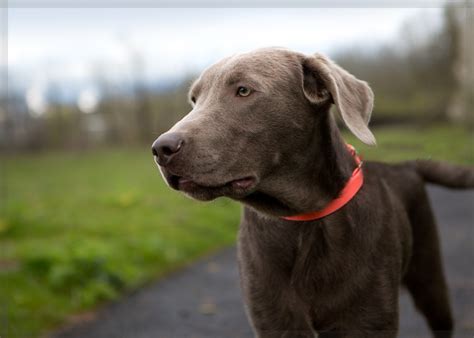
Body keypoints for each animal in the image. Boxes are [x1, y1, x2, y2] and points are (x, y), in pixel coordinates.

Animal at [153, 47, 474, 338]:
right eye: (194, 100)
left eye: (243, 90)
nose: (161, 149)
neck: (304, 220)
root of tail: (404, 165)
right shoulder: (274, 319)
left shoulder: (367, 319)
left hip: (429, 276)